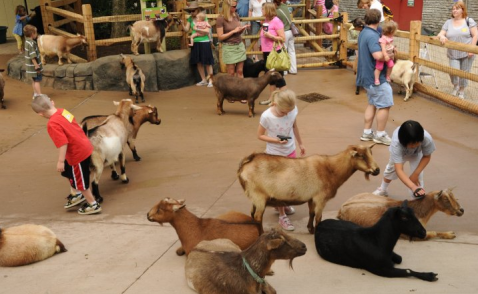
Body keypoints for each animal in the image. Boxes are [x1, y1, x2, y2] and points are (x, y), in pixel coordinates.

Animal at [336, 188, 464, 239]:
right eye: (446, 199)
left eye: (453, 196)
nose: (461, 210)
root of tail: (341, 208)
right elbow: (432, 233)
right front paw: (450, 234)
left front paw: (449, 233)